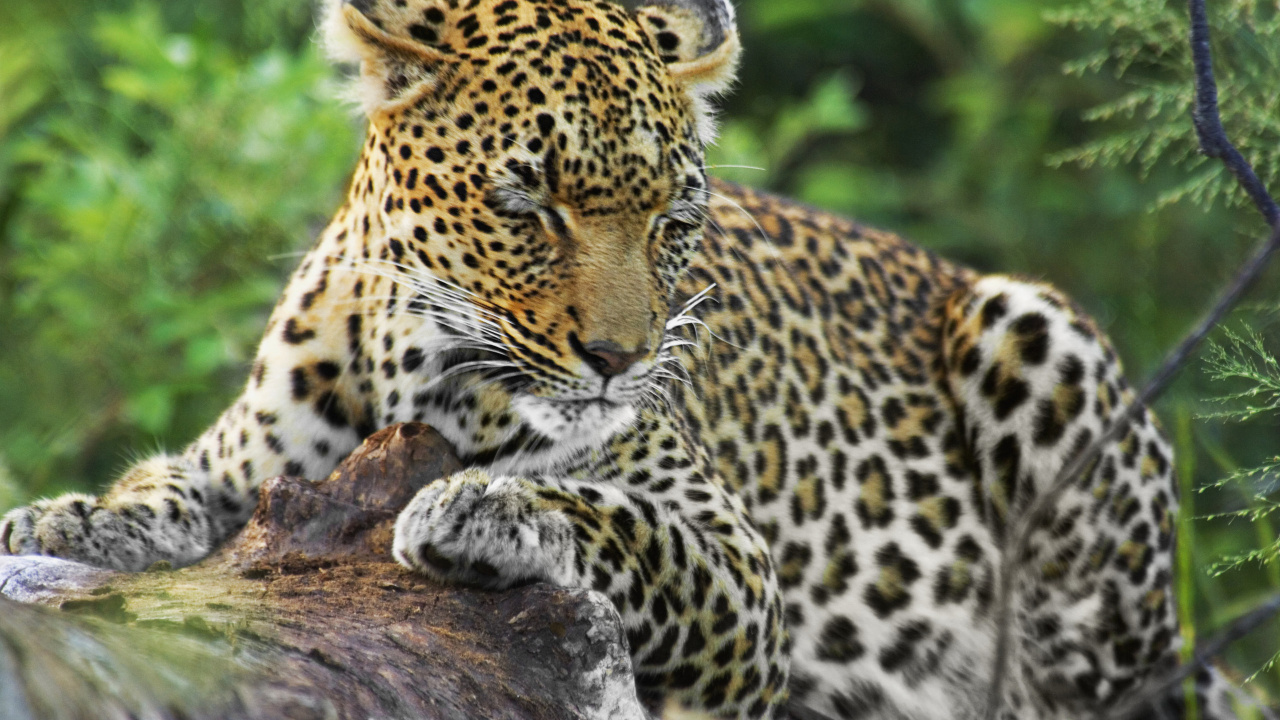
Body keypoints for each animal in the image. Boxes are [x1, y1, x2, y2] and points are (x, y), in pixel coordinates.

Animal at [0, 0, 1261, 718]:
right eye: (527, 204)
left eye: (671, 220)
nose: (617, 358)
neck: (423, 376)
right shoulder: (254, 457)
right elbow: (172, 484)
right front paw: (71, 517)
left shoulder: (738, 571)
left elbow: (622, 524)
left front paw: (483, 510)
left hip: (1039, 350)